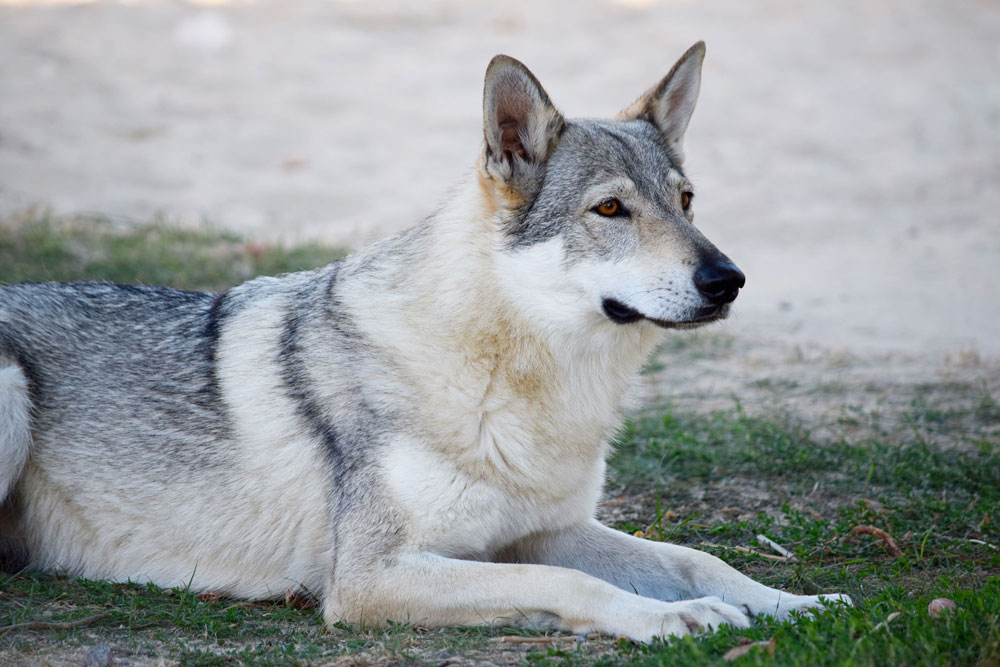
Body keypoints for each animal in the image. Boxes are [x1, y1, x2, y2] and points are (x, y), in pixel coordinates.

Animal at [0, 42, 848, 642]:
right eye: (610, 209)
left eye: (687, 202)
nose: (728, 279)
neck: (515, 381)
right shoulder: (372, 576)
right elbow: (573, 586)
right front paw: (672, 618)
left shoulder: (547, 530)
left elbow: (696, 557)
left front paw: (797, 600)